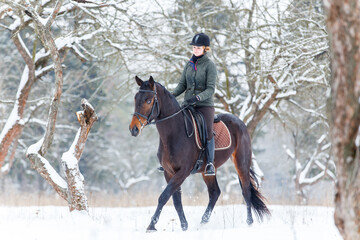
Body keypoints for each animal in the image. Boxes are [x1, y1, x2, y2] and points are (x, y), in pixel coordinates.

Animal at [129, 76, 270, 232]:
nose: (134, 129)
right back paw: (203, 222)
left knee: (246, 191)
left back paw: (249, 222)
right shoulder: (169, 172)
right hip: (207, 171)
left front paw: (152, 225)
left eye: (148, 100)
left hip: (241, 163)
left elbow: (164, 196)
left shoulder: (183, 171)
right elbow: (176, 200)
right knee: (215, 193)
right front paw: (184, 226)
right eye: (136, 98)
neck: (174, 133)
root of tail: (240, 122)